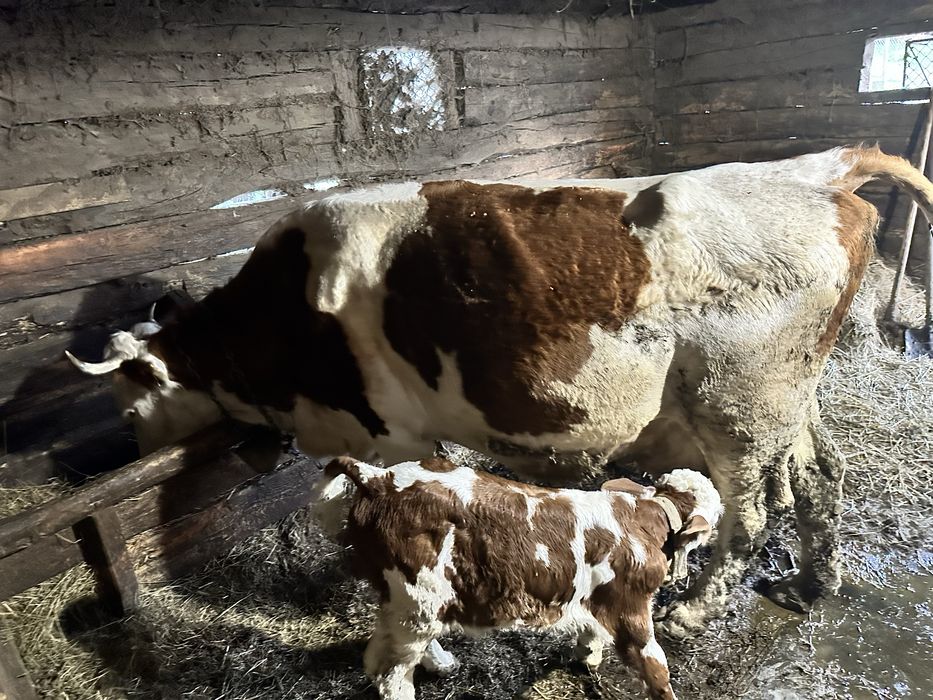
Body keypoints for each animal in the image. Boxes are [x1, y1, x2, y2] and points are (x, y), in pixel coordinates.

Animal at [66, 145, 933, 636]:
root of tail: (814, 177)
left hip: (740, 406)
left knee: (751, 514)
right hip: (790, 394)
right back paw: (811, 585)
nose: (131, 449)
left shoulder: (386, 431)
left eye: (128, 401)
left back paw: (694, 609)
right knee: (820, 476)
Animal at [312, 456, 723, 700]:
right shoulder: (631, 608)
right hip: (418, 596)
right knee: (391, 673)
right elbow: (655, 667)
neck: (646, 515)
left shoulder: (593, 597)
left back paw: (442, 663)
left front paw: (588, 654)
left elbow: (591, 627)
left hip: (410, 600)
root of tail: (377, 476)